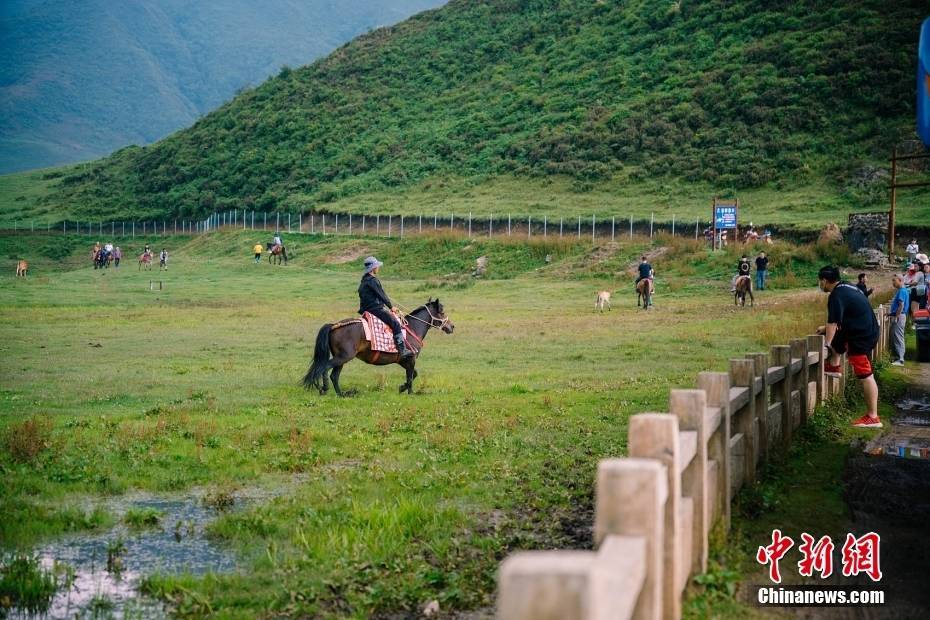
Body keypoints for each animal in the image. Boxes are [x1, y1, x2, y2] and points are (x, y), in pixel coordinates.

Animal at [302, 300, 452, 398]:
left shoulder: (403, 361)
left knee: (334, 375)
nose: (452, 326)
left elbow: (413, 374)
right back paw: (324, 389)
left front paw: (402, 388)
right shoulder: (411, 358)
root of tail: (334, 325)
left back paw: (341, 394)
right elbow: (410, 376)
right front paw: (410, 392)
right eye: (442, 312)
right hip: (343, 357)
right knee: (325, 368)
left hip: (341, 359)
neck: (413, 328)